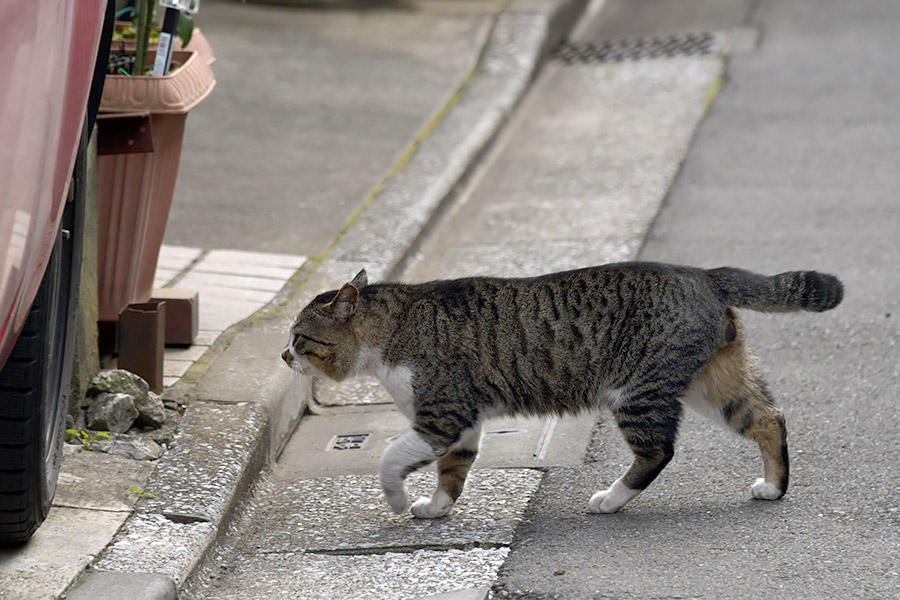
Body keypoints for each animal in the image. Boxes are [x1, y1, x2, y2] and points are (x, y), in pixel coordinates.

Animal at [284, 264, 844, 516]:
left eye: (300, 337)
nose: (284, 356)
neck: (394, 329)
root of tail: (702, 274)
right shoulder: (462, 425)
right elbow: (452, 472)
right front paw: (437, 507)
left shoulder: (442, 414)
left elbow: (391, 457)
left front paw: (398, 500)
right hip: (715, 383)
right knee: (769, 419)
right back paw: (773, 486)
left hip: (636, 391)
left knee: (657, 451)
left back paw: (612, 499)